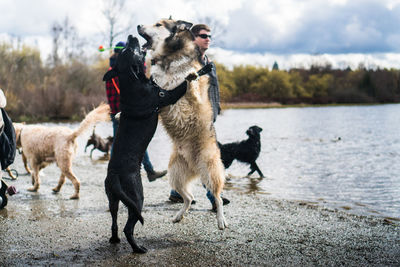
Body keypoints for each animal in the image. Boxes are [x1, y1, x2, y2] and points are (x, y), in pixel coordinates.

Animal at [101, 34, 211, 254]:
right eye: (129, 50)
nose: (131, 36)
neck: (133, 82)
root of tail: (114, 177)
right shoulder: (166, 96)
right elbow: (184, 83)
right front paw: (204, 69)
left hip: (113, 199)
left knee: (114, 222)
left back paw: (115, 240)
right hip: (137, 197)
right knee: (128, 227)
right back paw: (138, 248)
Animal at [139, 18, 228, 230]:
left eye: (158, 24)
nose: (138, 26)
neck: (168, 59)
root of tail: (195, 166)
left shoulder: (194, 93)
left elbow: (193, 84)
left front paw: (191, 78)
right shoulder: (156, 92)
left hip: (210, 172)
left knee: (218, 197)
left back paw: (221, 220)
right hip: (175, 174)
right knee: (188, 197)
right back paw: (179, 215)